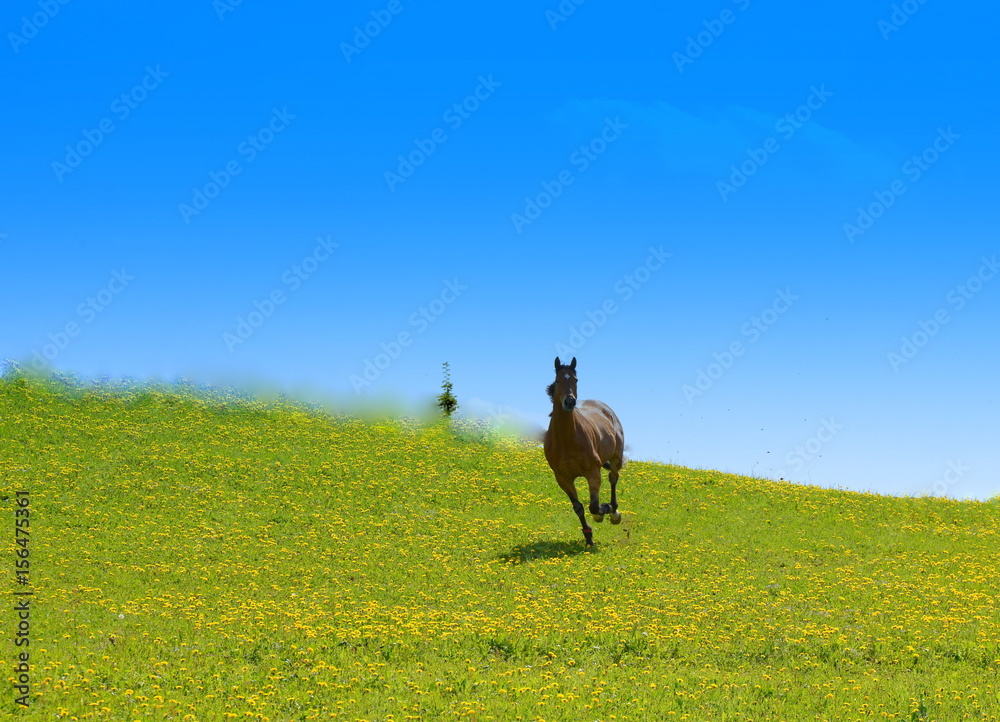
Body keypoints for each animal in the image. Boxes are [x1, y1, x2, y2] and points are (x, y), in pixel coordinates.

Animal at [543, 356, 625, 546]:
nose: (569, 402)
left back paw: (614, 512)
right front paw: (588, 537)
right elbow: (579, 507)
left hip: (616, 457)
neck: (567, 440)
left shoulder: (592, 472)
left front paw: (604, 510)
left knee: (613, 478)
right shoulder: (562, 478)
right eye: (558, 380)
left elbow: (593, 506)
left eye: (576, 380)